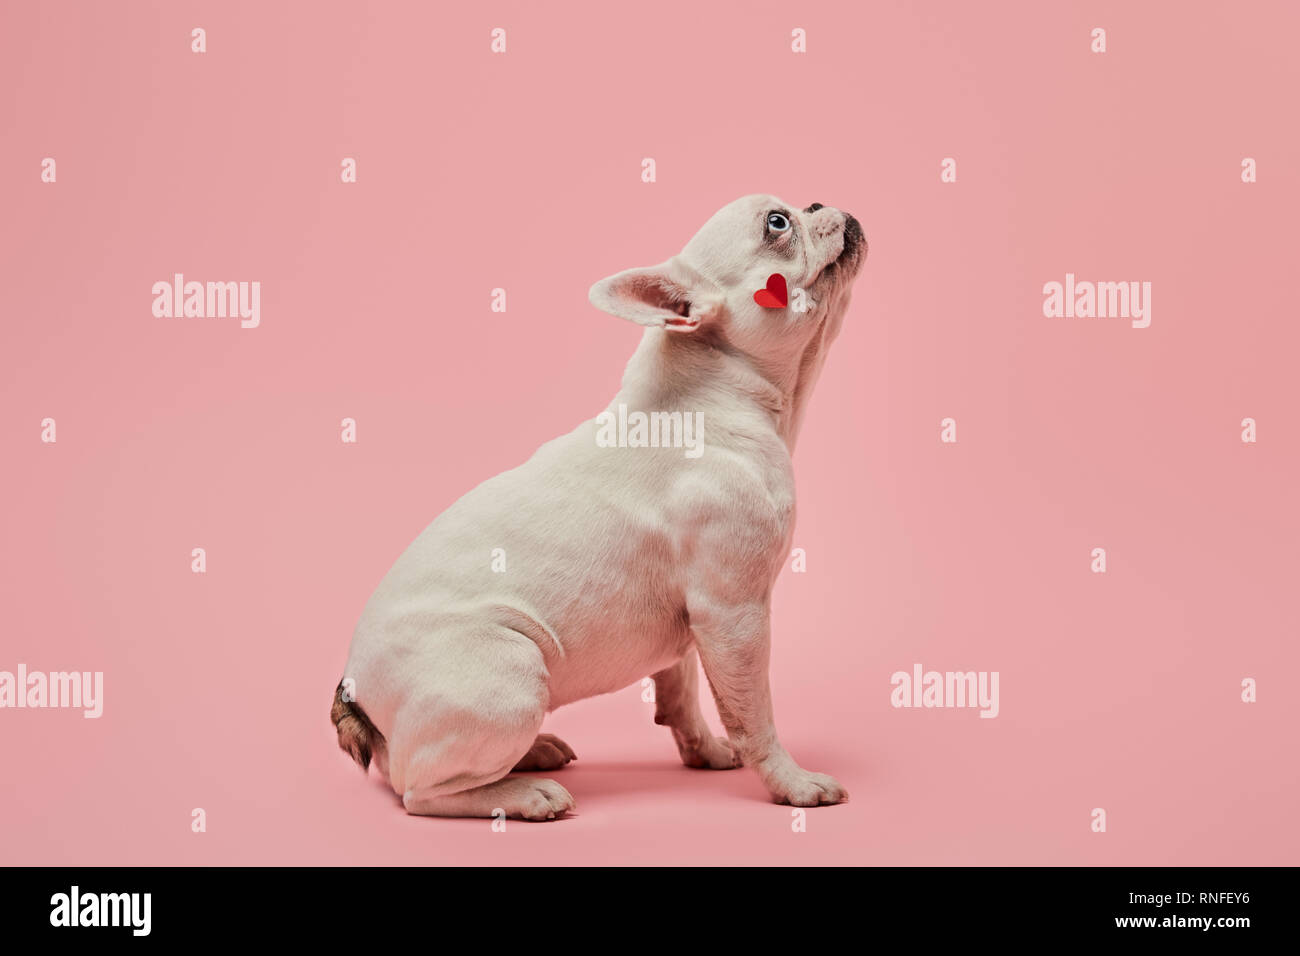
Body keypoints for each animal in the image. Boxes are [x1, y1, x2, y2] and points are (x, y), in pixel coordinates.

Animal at [332, 196, 863, 822]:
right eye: (777, 224)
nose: (817, 202)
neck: (712, 392)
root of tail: (354, 692)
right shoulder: (735, 615)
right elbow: (753, 714)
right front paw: (791, 783)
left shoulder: (694, 622)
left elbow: (681, 694)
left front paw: (705, 751)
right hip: (513, 668)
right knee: (420, 790)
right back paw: (524, 794)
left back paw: (531, 755)